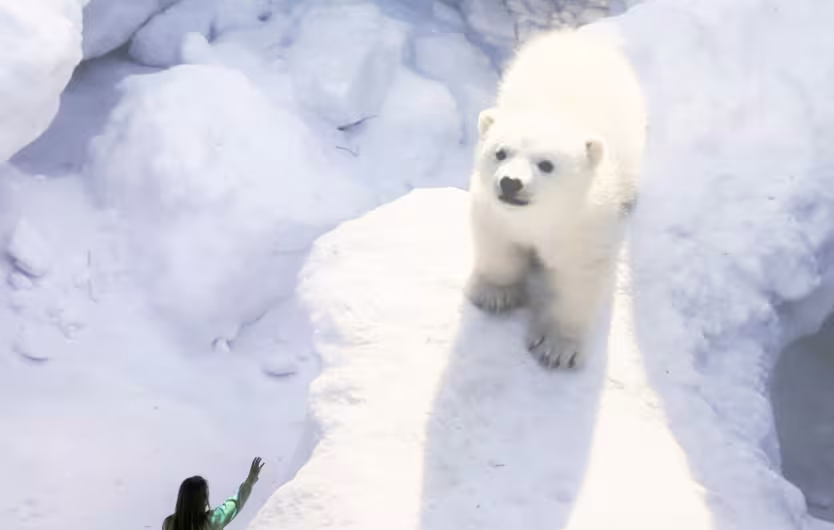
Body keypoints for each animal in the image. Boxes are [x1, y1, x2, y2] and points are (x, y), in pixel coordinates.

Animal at [465, 29, 647, 369]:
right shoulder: (493, 210)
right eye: (500, 153)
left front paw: (557, 348)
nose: (510, 183)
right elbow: (498, 243)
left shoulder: (587, 224)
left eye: (546, 164)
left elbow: (578, 277)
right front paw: (496, 294)